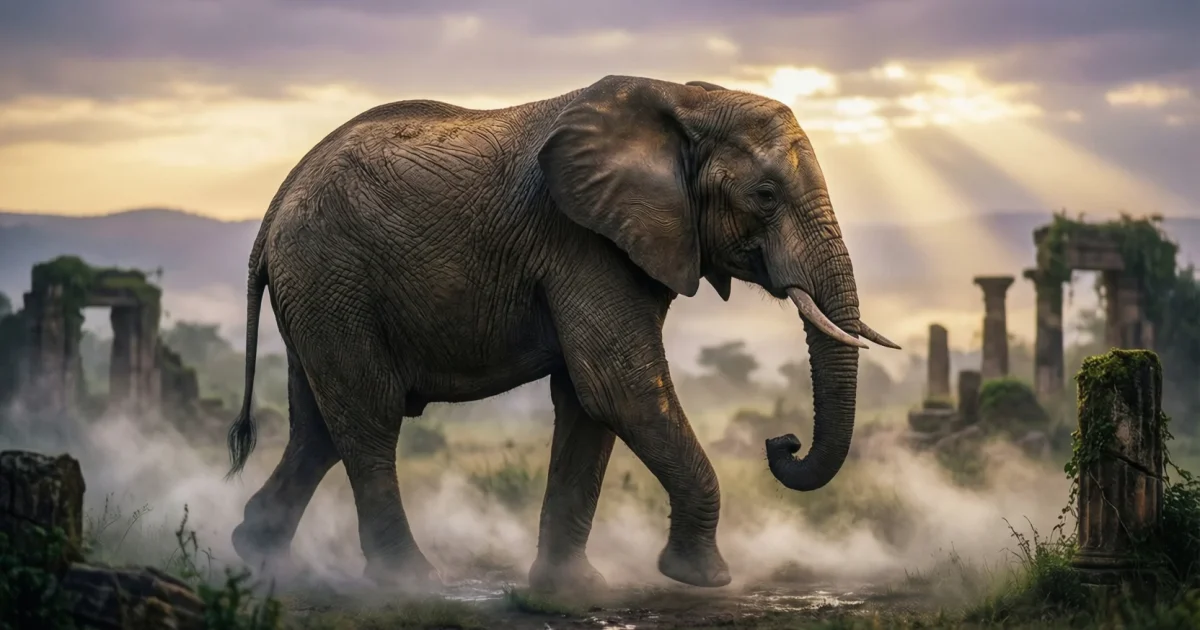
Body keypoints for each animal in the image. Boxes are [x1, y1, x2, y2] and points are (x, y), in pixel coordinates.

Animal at [224, 74, 900, 595]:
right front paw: (702, 580)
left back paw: (259, 555)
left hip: (319, 293)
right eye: (764, 195)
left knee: (318, 427)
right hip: (330, 277)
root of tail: (274, 207)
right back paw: (407, 582)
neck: (688, 100)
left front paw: (570, 590)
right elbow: (619, 388)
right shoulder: (582, 241)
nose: (782, 442)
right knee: (369, 416)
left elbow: (588, 402)